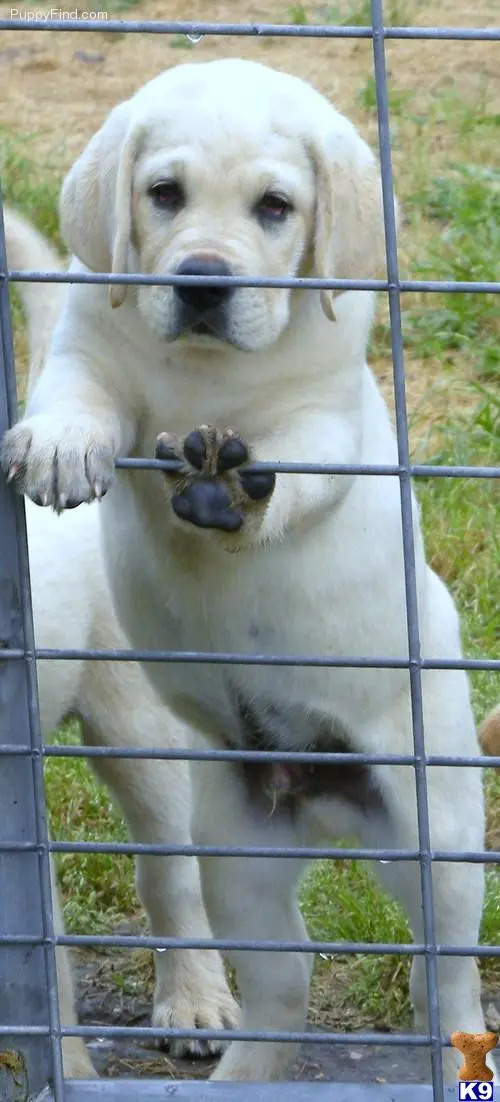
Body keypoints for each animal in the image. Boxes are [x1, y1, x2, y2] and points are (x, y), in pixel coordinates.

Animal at [0, 62, 495, 1084]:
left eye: (275, 208)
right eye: (164, 194)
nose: (201, 282)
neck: (202, 374)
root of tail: (320, 799)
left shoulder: (326, 416)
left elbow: (298, 464)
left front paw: (240, 488)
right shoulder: (89, 354)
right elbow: (74, 398)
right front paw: (62, 448)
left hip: (432, 829)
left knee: (446, 972)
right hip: (237, 845)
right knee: (282, 976)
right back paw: (239, 1070)